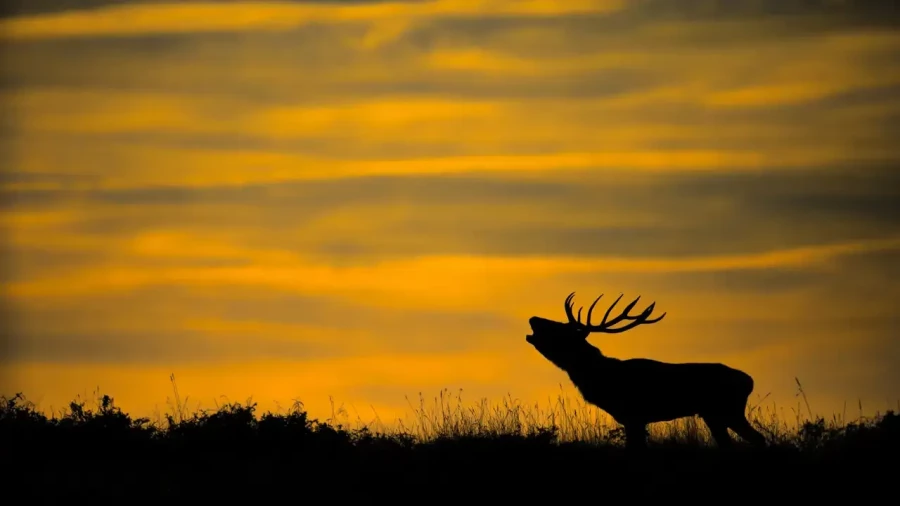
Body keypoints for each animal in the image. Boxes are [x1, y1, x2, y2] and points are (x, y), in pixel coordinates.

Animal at [525, 291, 767, 450]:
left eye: (561, 330)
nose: (533, 318)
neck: (602, 378)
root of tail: (749, 381)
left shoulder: (635, 415)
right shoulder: (633, 419)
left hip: (727, 410)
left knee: (759, 439)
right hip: (714, 414)